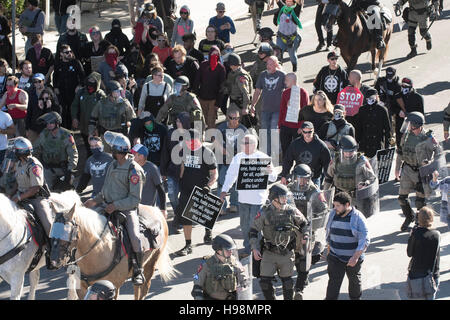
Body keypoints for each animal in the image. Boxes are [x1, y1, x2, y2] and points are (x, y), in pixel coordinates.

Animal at [48, 191, 176, 302]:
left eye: (66, 231)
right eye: (51, 230)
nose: (53, 263)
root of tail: (156, 210)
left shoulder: (112, 286)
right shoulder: (83, 289)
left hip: (151, 264)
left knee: (144, 288)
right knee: (137, 290)